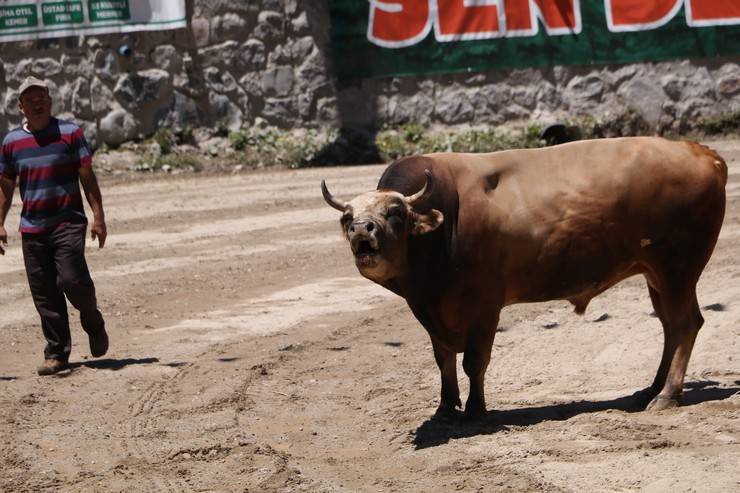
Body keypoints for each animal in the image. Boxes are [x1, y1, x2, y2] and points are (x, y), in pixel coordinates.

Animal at [322, 136, 728, 418]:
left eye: (394, 212)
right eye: (346, 217)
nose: (362, 230)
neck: (445, 225)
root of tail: (701, 152)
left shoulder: (485, 306)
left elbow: (474, 361)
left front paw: (475, 410)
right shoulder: (430, 309)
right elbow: (444, 359)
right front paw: (445, 407)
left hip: (677, 270)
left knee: (686, 324)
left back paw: (667, 394)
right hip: (656, 274)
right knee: (670, 327)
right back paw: (652, 388)